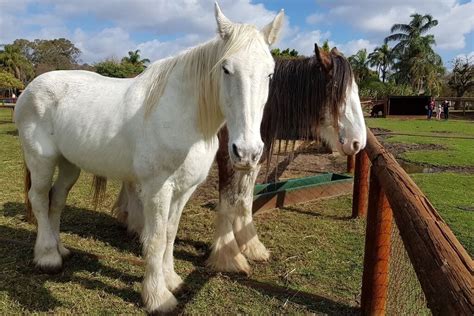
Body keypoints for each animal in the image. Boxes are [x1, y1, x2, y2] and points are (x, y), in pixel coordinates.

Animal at [15, 3, 286, 312]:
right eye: (226, 69)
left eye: (270, 74)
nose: (247, 152)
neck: (181, 114)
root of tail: (29, 88)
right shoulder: (158, 188)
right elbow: (155, 238)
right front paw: (158, 296)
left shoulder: (184, 190)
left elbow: (169, 233)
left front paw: (172, 281)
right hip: (41, 162)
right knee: (39, 199)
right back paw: (48, 257)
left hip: (69, 164)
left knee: (56, 200)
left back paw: (60, 249)